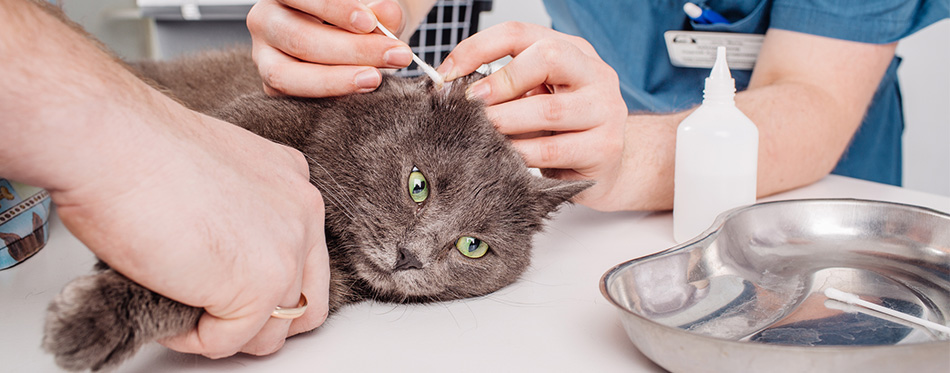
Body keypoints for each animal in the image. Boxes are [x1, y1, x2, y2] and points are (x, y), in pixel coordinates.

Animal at [41, 45, 592, 370]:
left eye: (473, 246)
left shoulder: (317, 284)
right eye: (418, 185)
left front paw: (93, 322)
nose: (410, 256)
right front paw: (93, 316)